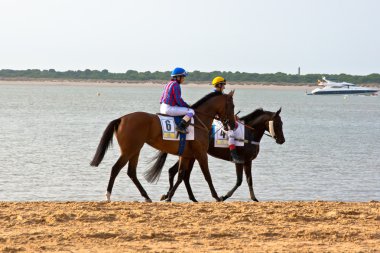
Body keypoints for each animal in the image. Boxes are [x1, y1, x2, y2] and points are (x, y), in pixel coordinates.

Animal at [90, 90, 236, 202]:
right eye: (232, 106)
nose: (233, 125)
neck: (198, 122)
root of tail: (121, 118)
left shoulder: (186, 155)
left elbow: (181, 175)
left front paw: (169, 196)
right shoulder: (201, 154)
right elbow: (207, 175)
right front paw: (217, 196)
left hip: (135, 150)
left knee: (131, 172)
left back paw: (147, 196)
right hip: (129, 150)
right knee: (115, 169)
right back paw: (108, 196)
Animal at [145, 107, 284, 202]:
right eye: (278, 123)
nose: (282, 140)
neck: (248, 134)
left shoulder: (248, 161)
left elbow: (249, 180)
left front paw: (254, 198)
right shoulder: (239, 161)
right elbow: (239, 181)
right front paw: (224, 196)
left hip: (191, 156)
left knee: (177, 172)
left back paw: (171, 195)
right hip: (193, 156)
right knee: (179, 173)